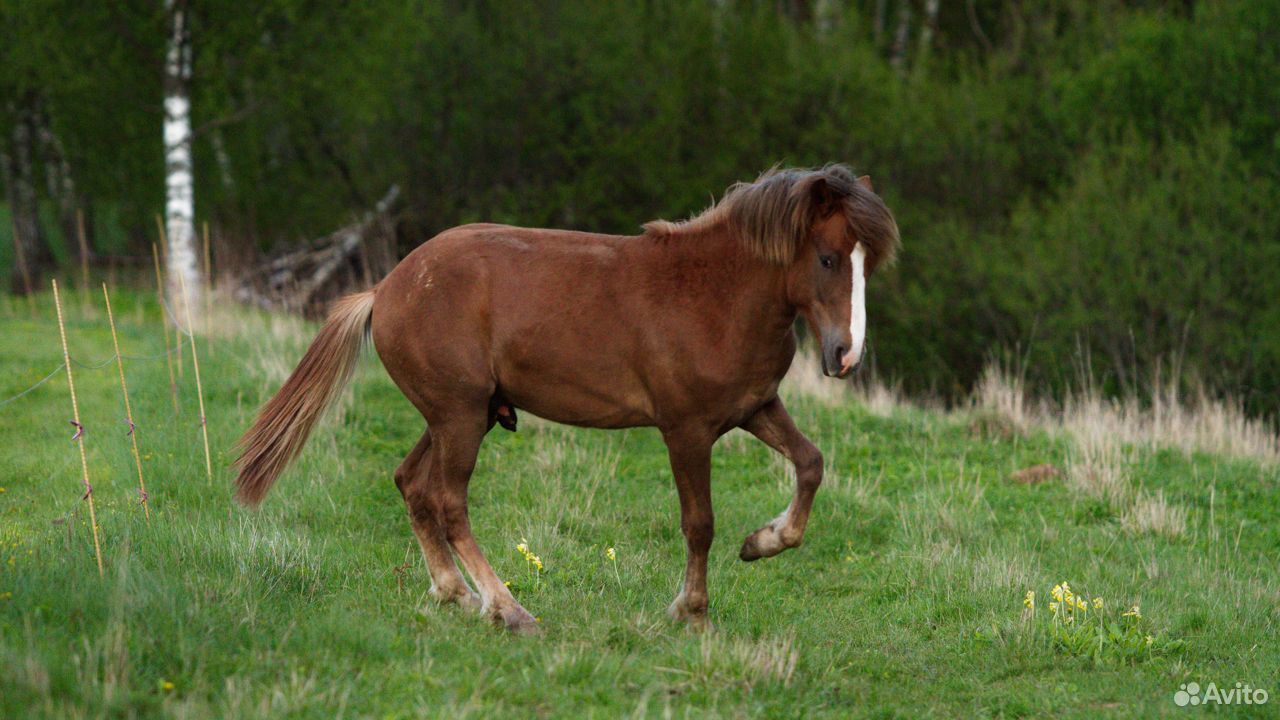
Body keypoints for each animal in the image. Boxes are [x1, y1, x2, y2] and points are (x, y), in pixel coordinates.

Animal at [238, 165, 901, 630]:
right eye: (827, 258)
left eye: (868, 264)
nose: (845, 356)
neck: (715, 294)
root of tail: (384, 289)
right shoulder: (686, 430)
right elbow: (699, 524)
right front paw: (690, 611)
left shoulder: (754, 409)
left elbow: (811, 463)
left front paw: (763, 543)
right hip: (458, 416)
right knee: (448, 502)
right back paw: (507, 610)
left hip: (464, 414)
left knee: (411, 484)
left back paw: (455, 594)